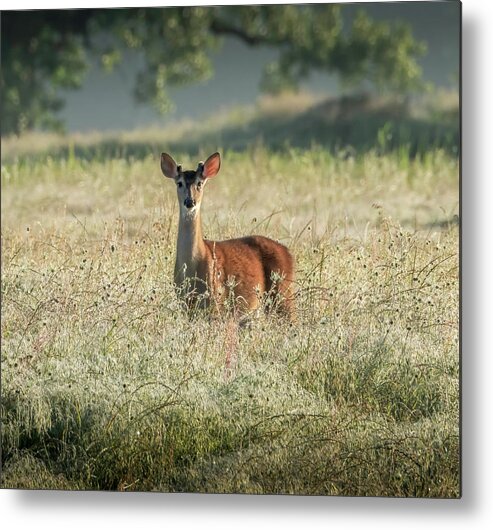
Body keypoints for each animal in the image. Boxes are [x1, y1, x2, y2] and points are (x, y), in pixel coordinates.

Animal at [160, 150, 294, 318]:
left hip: (283, 293)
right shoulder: (185, 303)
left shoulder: (217, 301)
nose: (190, 202)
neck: (194, 264)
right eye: (179, 183)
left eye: (199, 183)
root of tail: (288, 252)